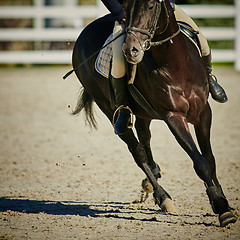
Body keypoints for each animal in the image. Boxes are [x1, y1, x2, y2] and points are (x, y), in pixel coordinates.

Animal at [70, 0, 237, 227]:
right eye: (127, 7)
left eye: (150, 6)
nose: (130, 50)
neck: (174, 63)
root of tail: (82, 34)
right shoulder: (174, 117)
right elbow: (200, 162)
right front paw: (221, 208)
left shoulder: (204, 113)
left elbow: (210, 159)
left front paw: (223, 202)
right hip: (109, 108)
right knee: (137, 150)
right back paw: (163, 197)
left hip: (144, 111)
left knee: (144, 135)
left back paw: (153, 177)